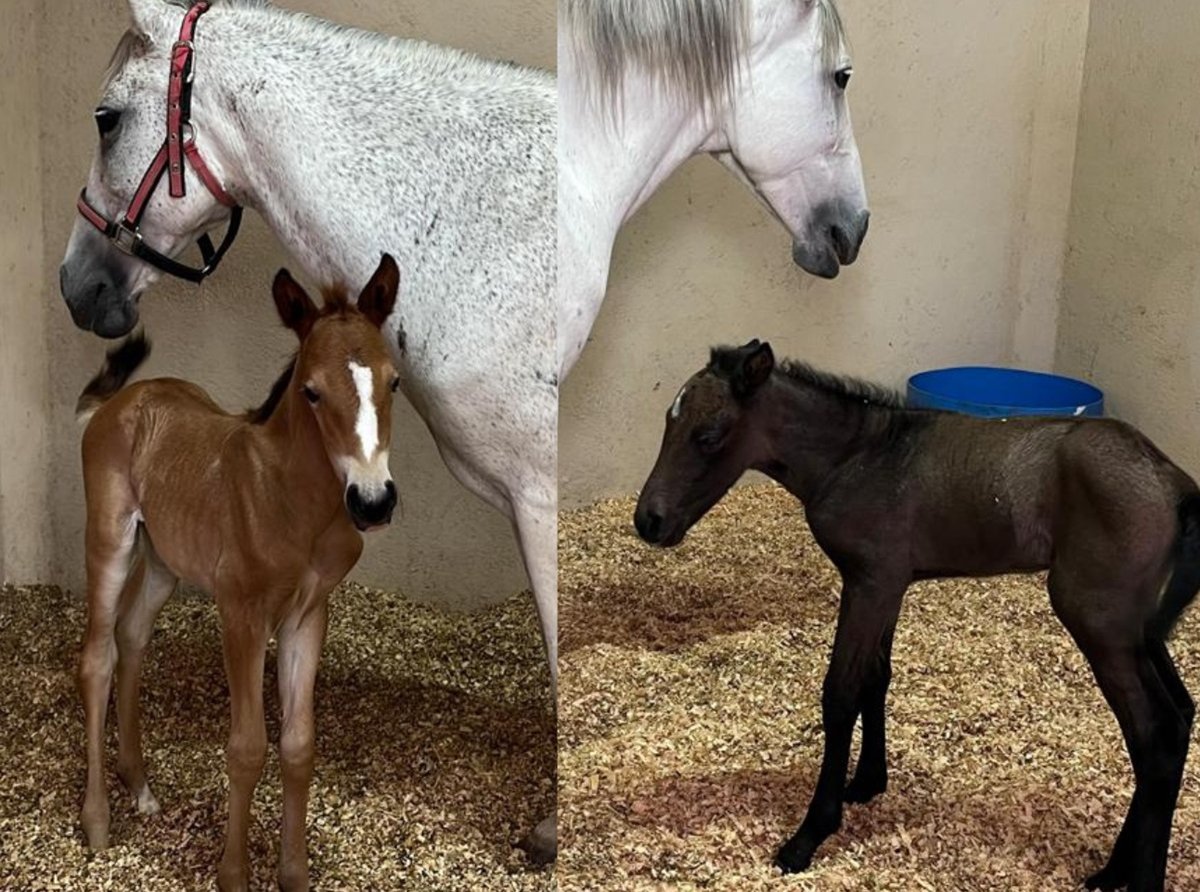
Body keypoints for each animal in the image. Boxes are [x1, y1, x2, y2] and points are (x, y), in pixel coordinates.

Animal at [77, 254, 400, 888]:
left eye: (394, 381)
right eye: (312, 391)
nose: (373, 502)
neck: (296, 504)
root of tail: (119, 403)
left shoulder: (308, 613)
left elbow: (298, 746)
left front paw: (293, 874)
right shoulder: (241, 614)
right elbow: (248, 748)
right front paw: (234, 873)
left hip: (164, 559)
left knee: (132, 635)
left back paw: (140, 784)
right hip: (109, 541)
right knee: (98, 657)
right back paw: (98, 820)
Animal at [638, 340, 1200, 892]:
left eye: (709, 436)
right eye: (667, 423)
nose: (648, 521)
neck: (857, 455)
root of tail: (1175, 484)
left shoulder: (872, 583)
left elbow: (841, 693)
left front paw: (810, 833)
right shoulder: (887, 586)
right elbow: (876, 679)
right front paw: (867, 781)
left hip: (1097, 621)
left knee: (1153, 734)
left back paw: (1133, 875)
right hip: (1137, 629)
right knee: (1179, 716)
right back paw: (1115, 870)